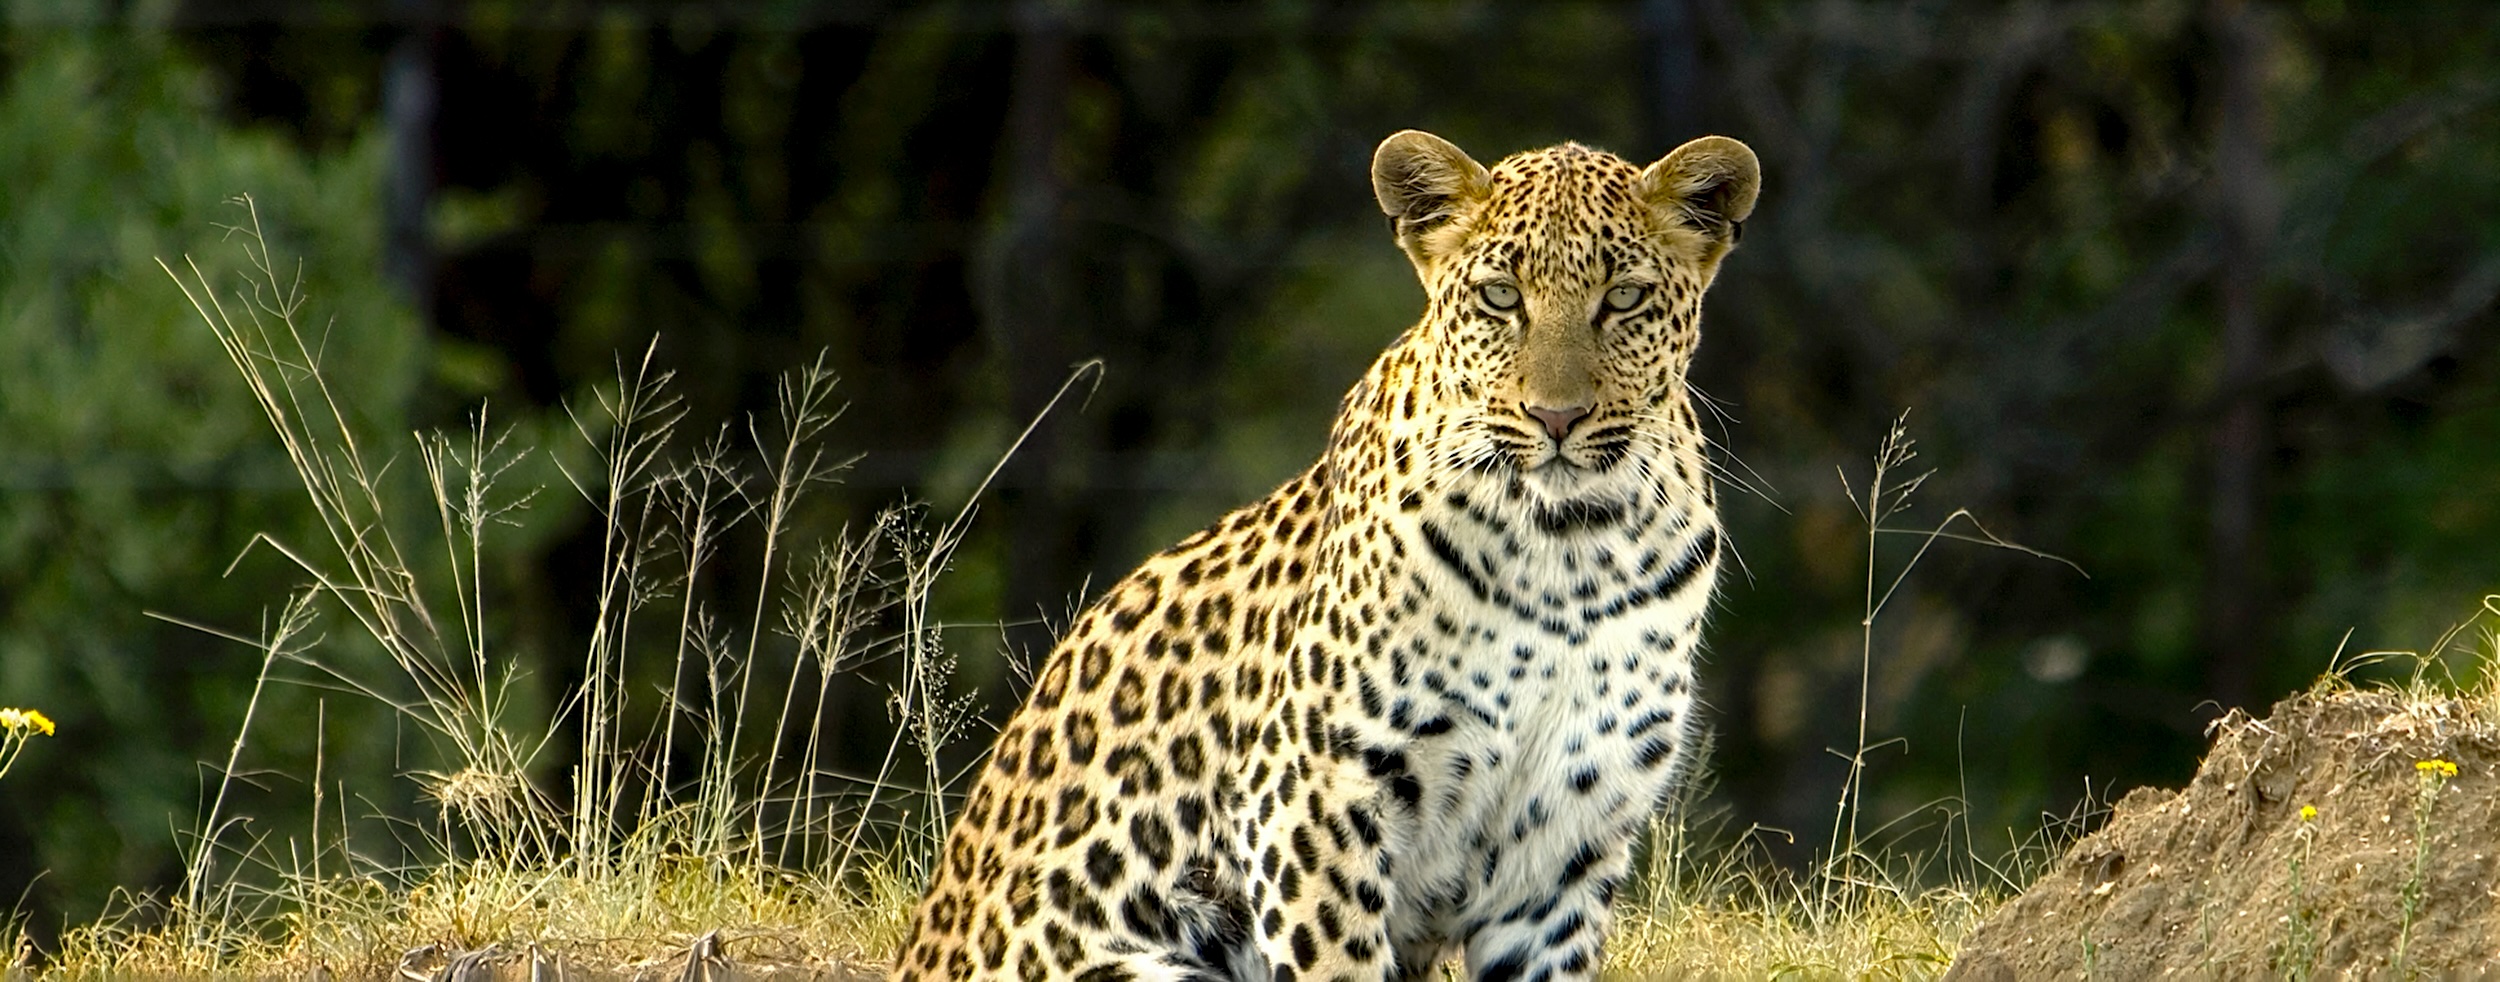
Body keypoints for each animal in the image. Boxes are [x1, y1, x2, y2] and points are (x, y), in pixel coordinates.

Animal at [895, 128, 1760, 982]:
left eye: (1624, 299)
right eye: (1500, 297)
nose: (1556, 417)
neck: (1573, 546)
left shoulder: (1567, 838)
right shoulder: (1312, 791)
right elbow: (1336, 959)